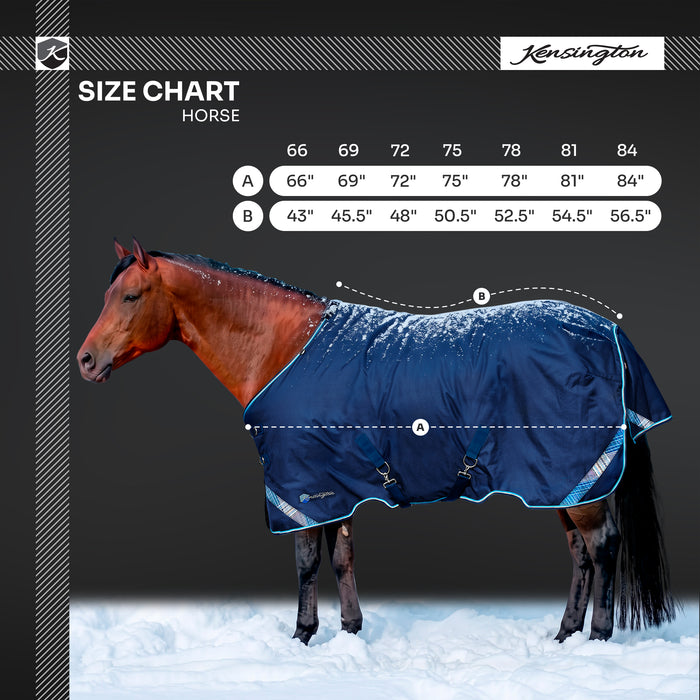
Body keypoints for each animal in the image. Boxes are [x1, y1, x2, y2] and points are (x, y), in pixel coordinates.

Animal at [77, 239, 676, 644]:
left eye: (131, 296)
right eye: (107, 294)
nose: (86, 360)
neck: (282, 347)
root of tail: (607, 332)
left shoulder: (300, 487)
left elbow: (305, 562)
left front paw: (302, 635)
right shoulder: (335, 485)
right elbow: (341, 558)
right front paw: (350, 630)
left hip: (577, 478)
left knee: (602, 547)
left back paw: (597, 636)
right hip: (558, 484)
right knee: (580, 554)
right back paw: (564, 634)